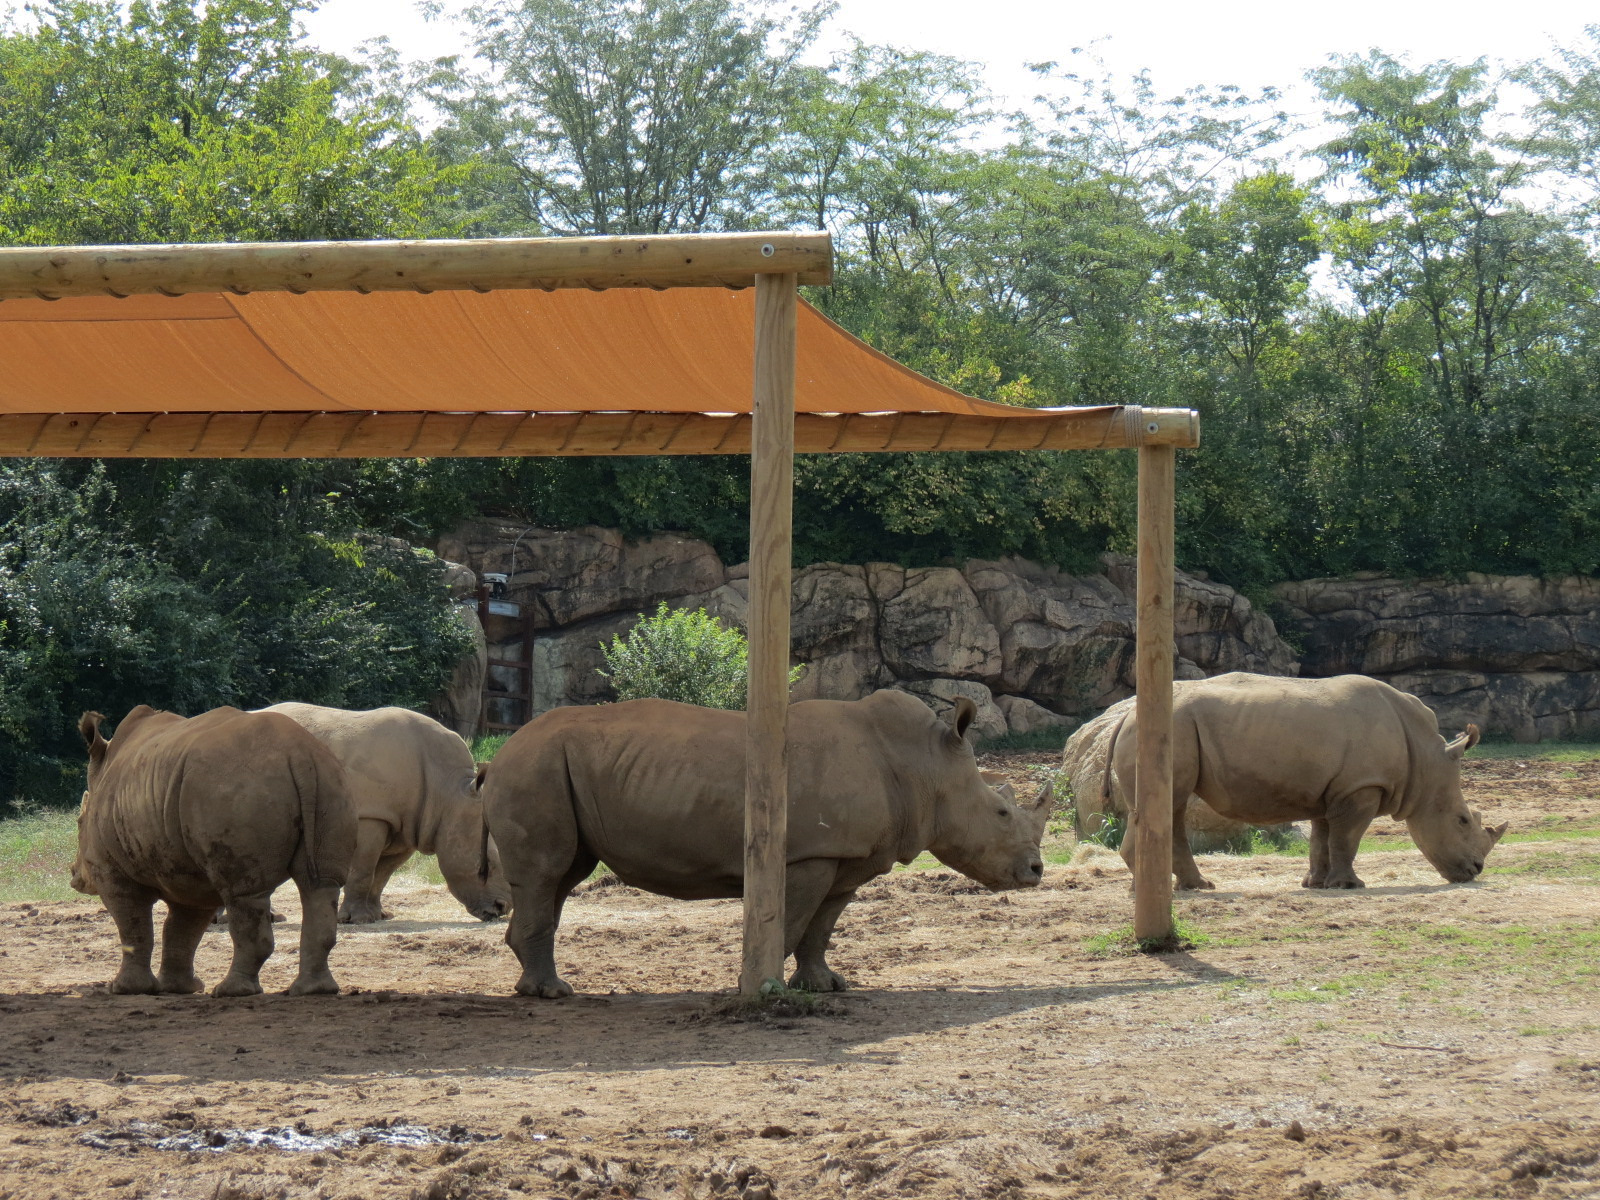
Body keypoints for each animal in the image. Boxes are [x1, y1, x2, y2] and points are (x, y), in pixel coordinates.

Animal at [74, 706, 356, 996]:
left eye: (79, 823)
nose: (75, 877)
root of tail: (300, 755)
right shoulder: (187, 875)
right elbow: (182, 929)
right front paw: (180, 988)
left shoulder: (111, 870)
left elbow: (133, 925)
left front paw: (124, 988)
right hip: (331, 782)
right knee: (320, 885)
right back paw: (313, 990)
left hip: (234, 789)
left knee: (243, 892)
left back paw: (230, 991)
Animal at [257, 703, 509, 923]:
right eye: (485, 866)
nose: (502, 908)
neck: (448, 793)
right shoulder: (372, 815)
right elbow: (363, 869)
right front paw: (357, 920)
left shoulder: (408, 825)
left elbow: (382, 875)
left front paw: (380, 916)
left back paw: (273, 918)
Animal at [482, 691, 1051, 997]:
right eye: (1001, 813)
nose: (1036, 871)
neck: (923, 764)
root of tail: (498, 753)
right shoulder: (809, 854)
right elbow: (793, 922)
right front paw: (758, 987)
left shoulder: (847, 856)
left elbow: (822, 927)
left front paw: (825, 985)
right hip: (535, 766)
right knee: (548, 873)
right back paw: (552, 994)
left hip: (553, 766)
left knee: (562, 877)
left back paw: (541, 984)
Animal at [1106, 673, 1507, 890]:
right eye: (1462, 820)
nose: (1475, 871)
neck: (1425, 760)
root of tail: (1125, 716)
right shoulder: (1362, 786)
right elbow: (1347, 838)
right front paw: (1350, 886)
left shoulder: (1332, 789)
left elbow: (1322, 838)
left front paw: (1317, 884)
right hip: (1170, 730)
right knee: (1168, 804)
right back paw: (1158, 889)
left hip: (1173, 732)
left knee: (1170, 807)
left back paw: (1193, 887)